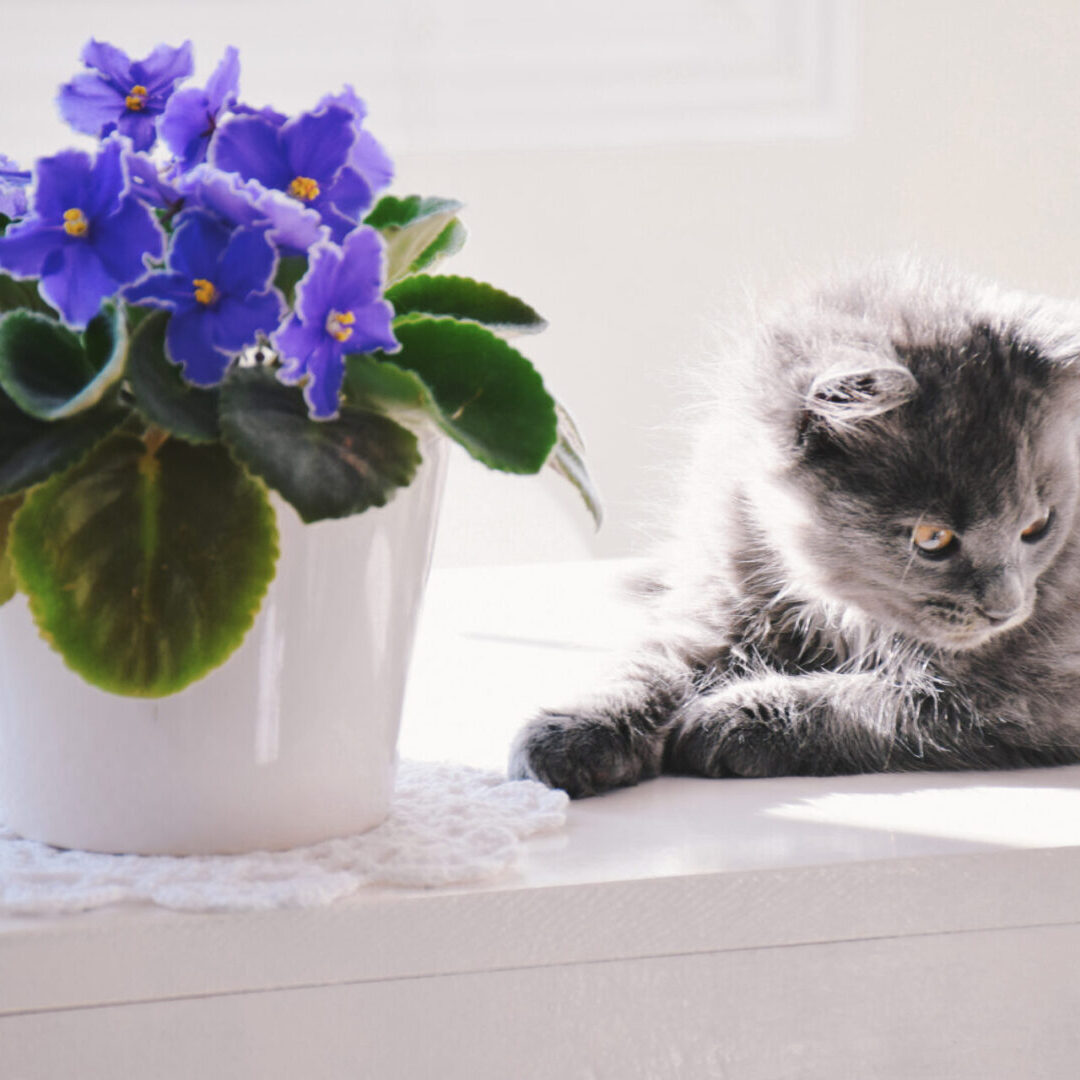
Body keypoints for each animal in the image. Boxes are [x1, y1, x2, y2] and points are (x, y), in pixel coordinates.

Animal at [507, 261, 1080, 799]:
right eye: (932, 539)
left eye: (1038, 526)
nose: (1006, 609)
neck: (837, 607)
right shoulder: (716, 603)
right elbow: (647, 667)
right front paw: (577, 729)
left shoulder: (1027, 693)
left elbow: (876, 700)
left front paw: (729, 720)